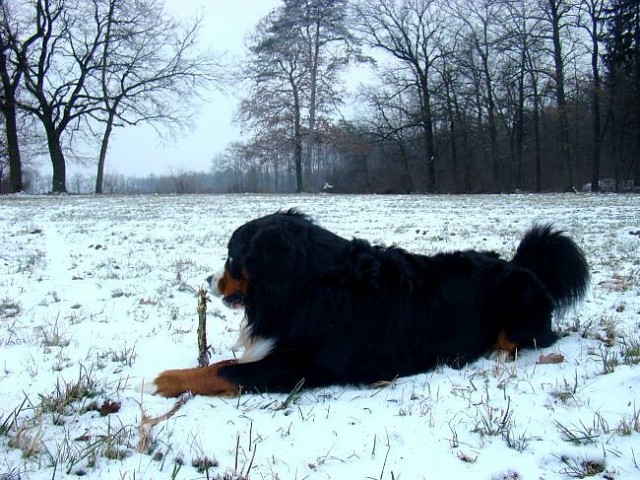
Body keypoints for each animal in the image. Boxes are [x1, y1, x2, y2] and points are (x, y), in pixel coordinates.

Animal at [151, 211, 592, 398]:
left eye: (231, 257)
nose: (208, 281)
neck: (306, 286)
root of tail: (521, 266)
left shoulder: (297, 365)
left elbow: (224, 372)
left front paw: (165, 380)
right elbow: (228, 364)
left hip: (520, 313)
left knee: (524, 340)